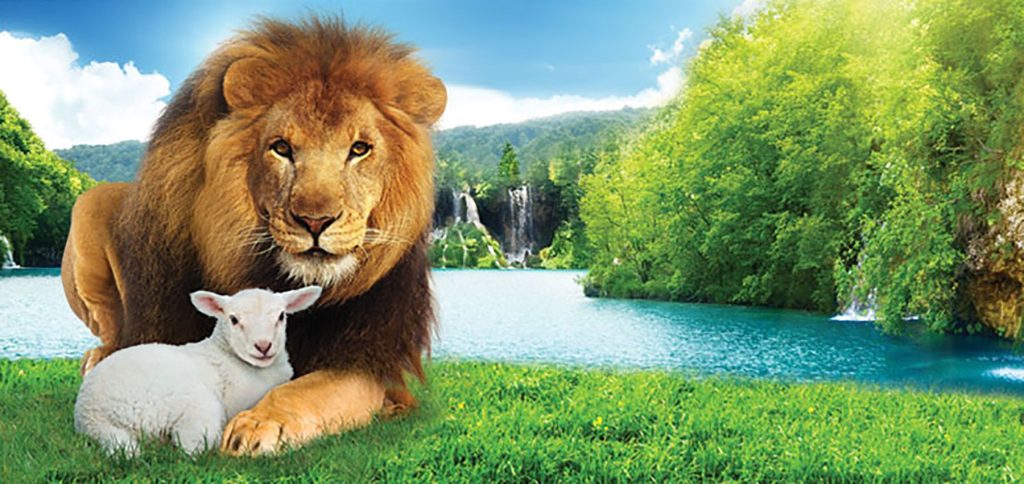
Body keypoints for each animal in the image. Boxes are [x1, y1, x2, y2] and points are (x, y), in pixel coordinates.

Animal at [73, 285, 322, 456]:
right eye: (233, 319)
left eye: (281, 316)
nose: (263, 346)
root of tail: (95, 417)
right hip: (195, 406)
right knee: (192, 447)